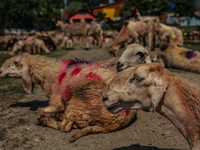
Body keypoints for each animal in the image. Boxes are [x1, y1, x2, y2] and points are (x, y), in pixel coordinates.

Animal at [0, 53, 138, 142]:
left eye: (16, 62)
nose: (0, 71)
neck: (50, 75)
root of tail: (113, 124)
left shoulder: (57, 102)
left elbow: (43, 110)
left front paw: (46, 116)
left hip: (79, 98)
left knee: (64, 127)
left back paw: (46, 121)